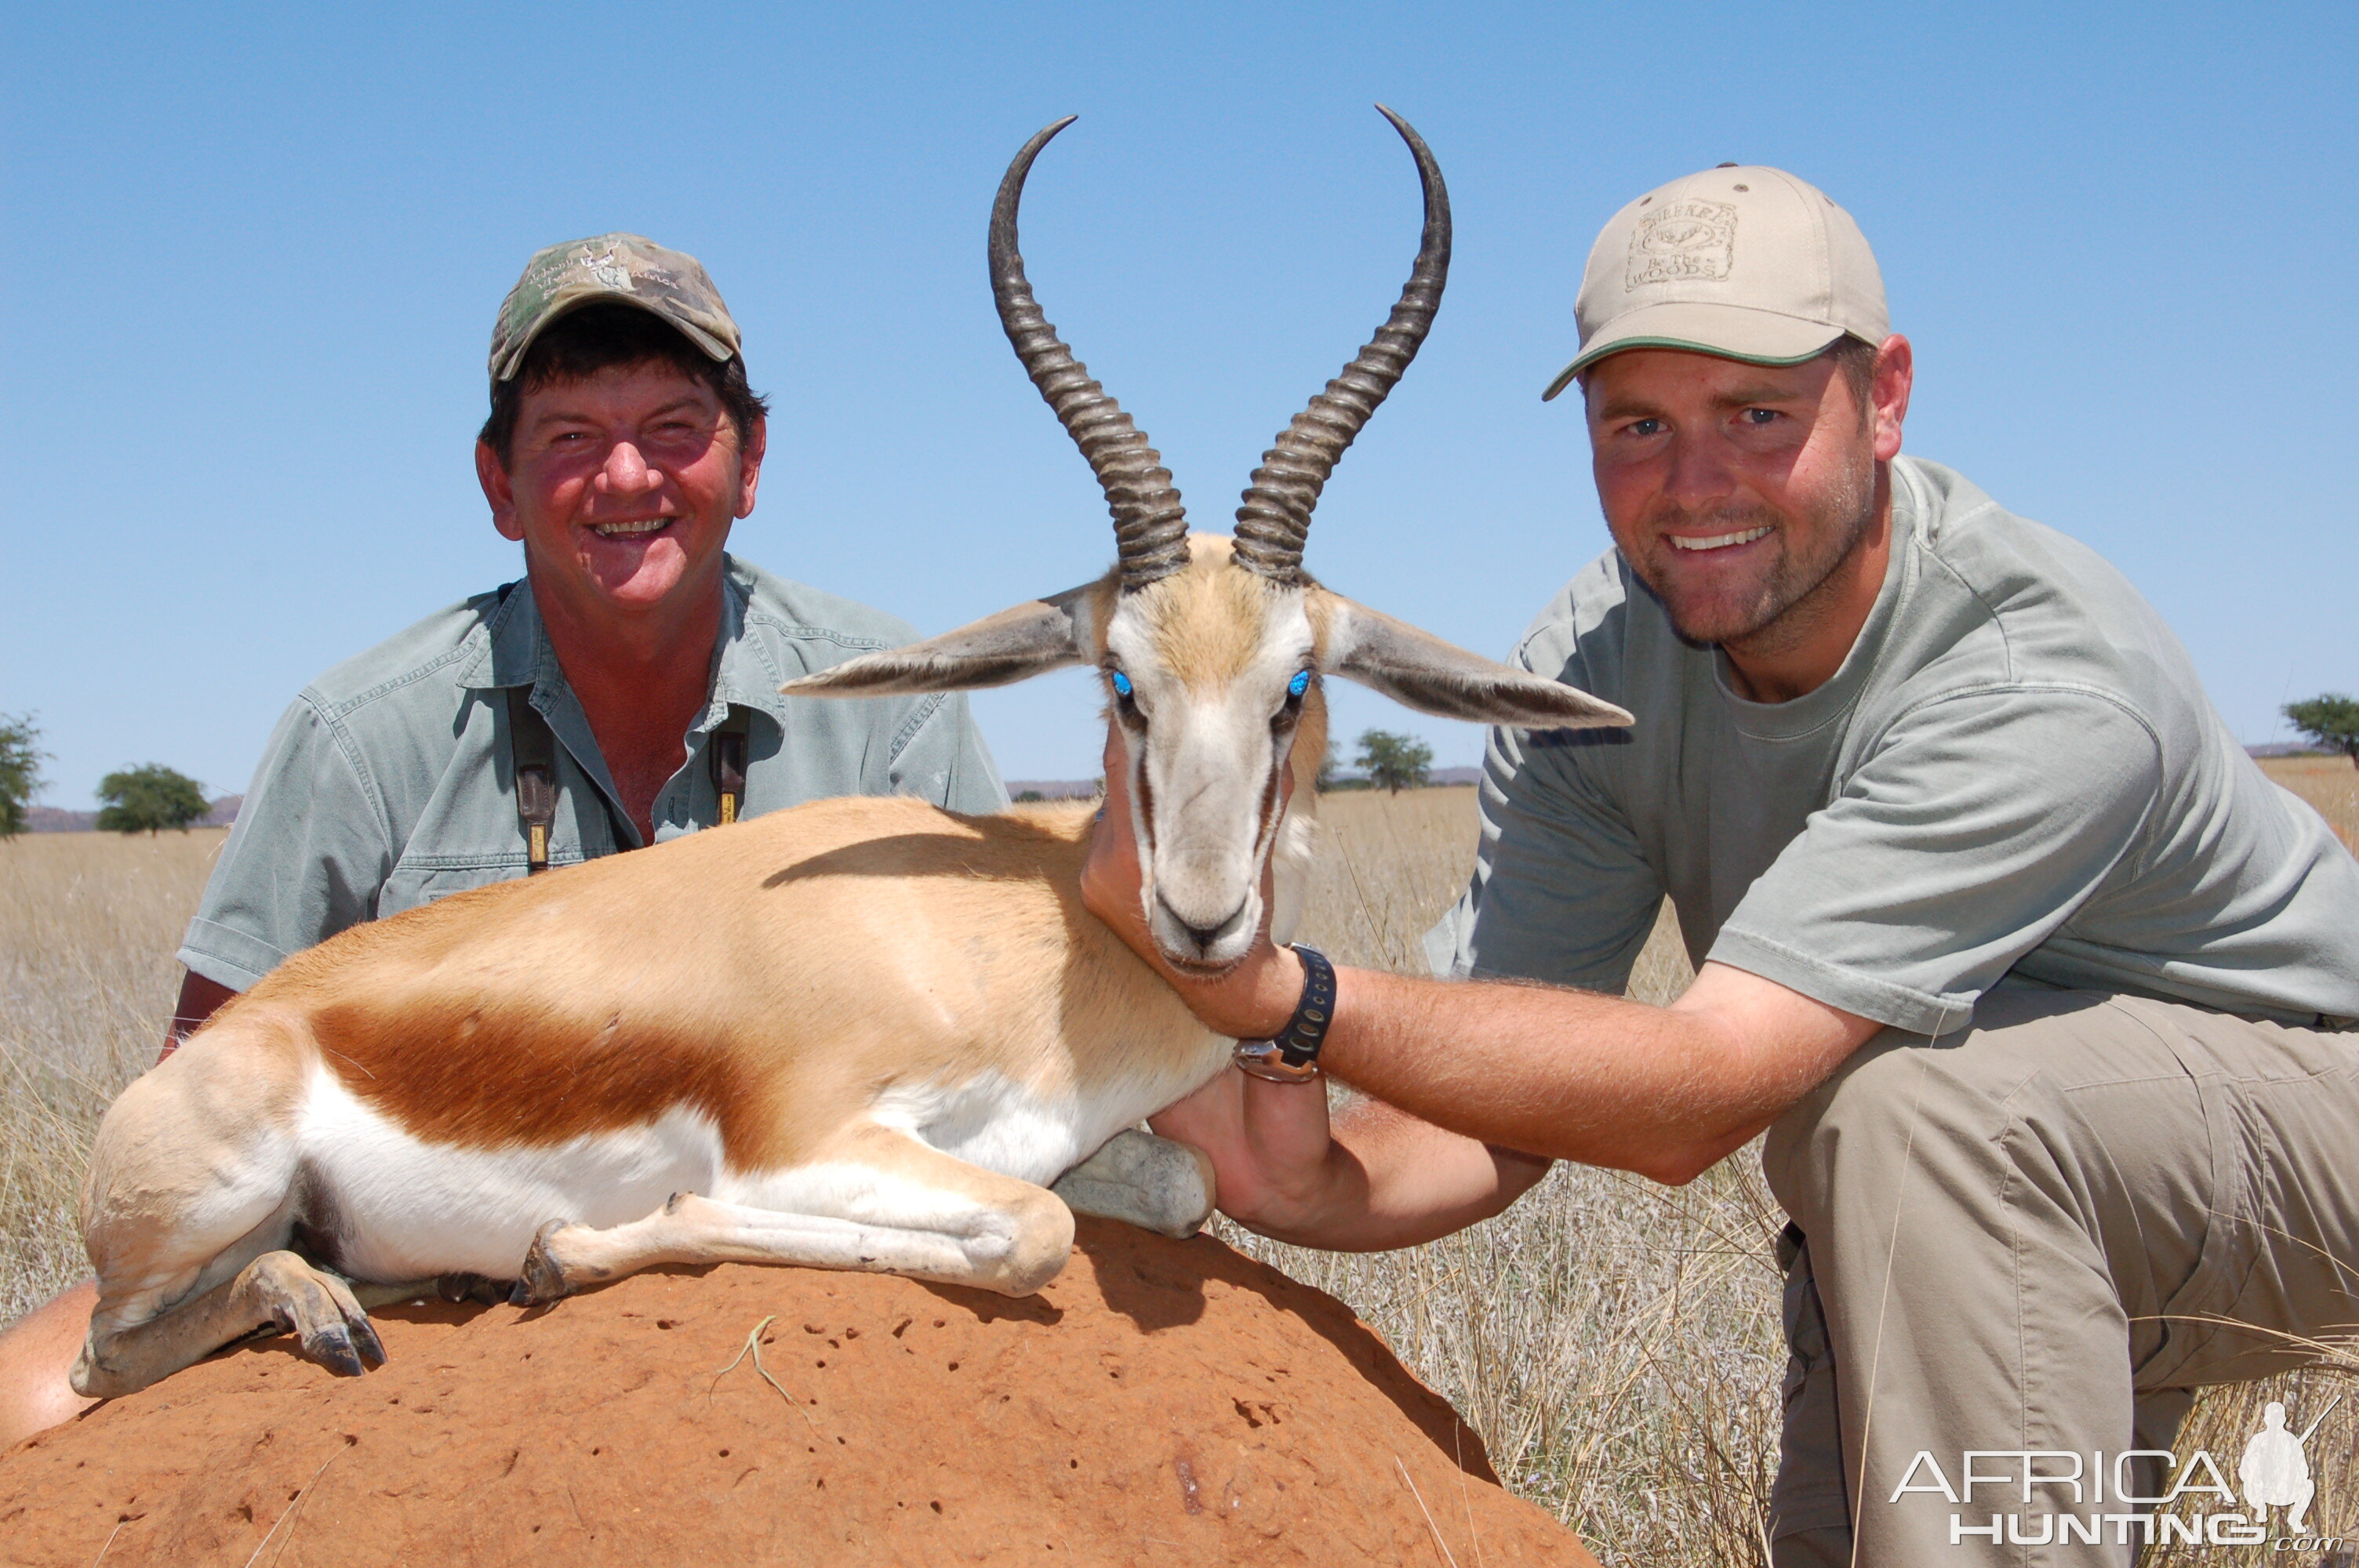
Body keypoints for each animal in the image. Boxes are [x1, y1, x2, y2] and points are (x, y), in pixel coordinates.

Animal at [68, 110, 1623, 1396]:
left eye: (1294, 687)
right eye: (1121, 684)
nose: (1202, 917)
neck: (1021, 942)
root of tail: (236, 1036)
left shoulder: (1076, 1150)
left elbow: (1146, 1200)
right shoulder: (807, 1135)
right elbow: (1016, 1231)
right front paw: (573, 1250)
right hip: (208, 1207)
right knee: (108, 1350)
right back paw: (335, 1306)